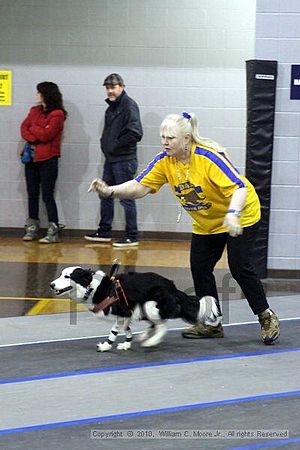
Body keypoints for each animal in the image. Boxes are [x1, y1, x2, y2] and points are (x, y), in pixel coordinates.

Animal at [50, 262, 221, 354]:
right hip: (144, 307)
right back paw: (145, 335)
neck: (93, 287)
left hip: (150, 305)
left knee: (162, 325)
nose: (51, 285)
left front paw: (106, 346)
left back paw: (151, 341)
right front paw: (127, 343)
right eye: (61, 274)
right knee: (156, 323)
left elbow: (113, 332)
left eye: (67, 277)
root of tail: (172, 287)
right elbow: (127, 329)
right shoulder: (127, 313)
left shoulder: (122, 311)